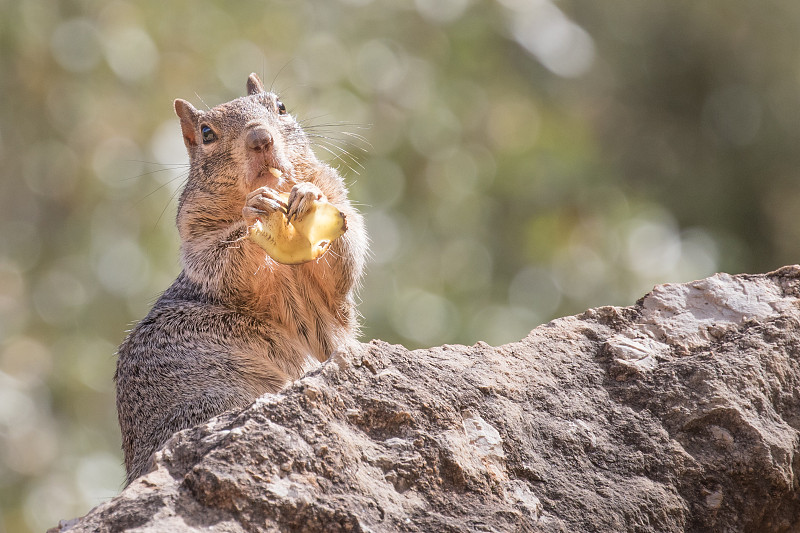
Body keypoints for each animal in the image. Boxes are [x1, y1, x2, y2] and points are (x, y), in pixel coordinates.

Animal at [113, 72, 368, 484]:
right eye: (206, 133)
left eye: (280, 106)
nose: (259, 138)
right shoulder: (200, 247)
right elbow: (228, 263)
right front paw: (255, 210)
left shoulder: (340, 207)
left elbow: (342, 261)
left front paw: (308, 195)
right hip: (207, 401)